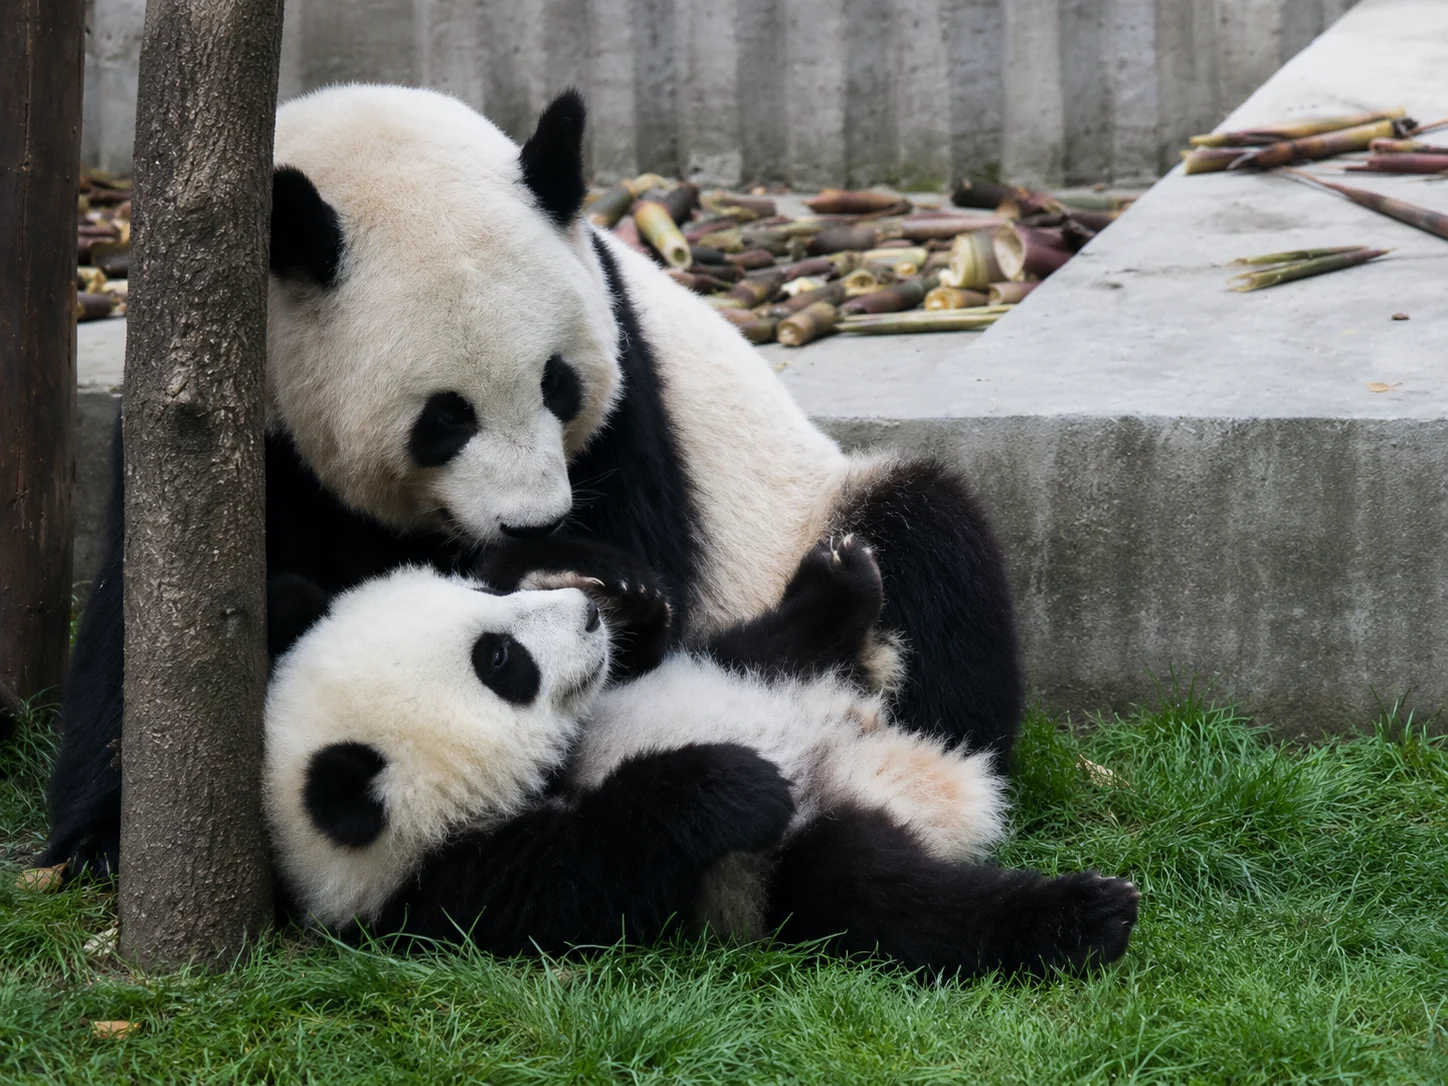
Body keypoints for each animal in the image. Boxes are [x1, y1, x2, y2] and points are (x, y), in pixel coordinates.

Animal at [44, 83, 1022, 879]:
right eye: (443, 418)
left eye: (559, 384)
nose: (532, 525)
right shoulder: (224, 410)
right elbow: (159, 608)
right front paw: (99, 838)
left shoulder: (629, 392)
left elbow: (653, 566)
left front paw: (596, 580)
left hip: (817, 508)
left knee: (931, 545)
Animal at [265, 542, 1139, 978]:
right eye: (499, 659)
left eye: (479, 593)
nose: (584, 614)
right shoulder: (457, 890)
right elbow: (591, 873)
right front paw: (733, 783)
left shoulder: (623, 690)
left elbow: (658, 654)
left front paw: (627, 597)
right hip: (780, 875)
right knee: (886, 898)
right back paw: (1084, 917)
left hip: (755, 675)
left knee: (763, 647)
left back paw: (837, 582)